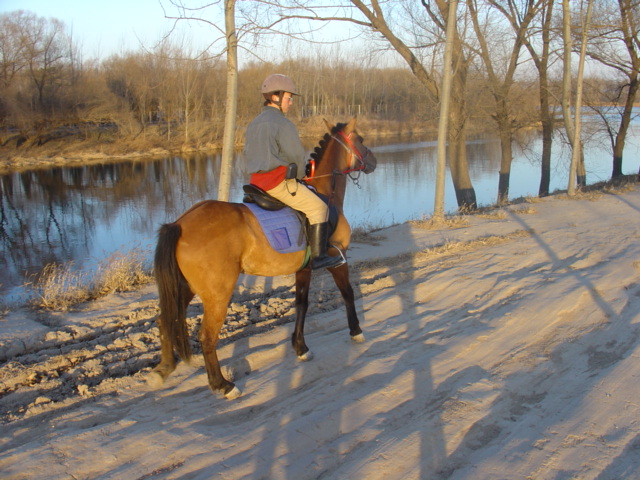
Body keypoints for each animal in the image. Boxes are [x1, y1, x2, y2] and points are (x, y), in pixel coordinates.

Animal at [152, 118, 378, 400]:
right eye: (360, 139)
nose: (373, 161)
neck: (325, 191)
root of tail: (180, 224)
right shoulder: (339, 258)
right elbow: (347, 293)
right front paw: (356, 331)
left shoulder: (304, 269)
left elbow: (301, 304)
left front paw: (300, 347)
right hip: (217, 295)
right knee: (207, 336)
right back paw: (223, 385)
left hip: (185, 287)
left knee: (165, 320)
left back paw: (164, 369)